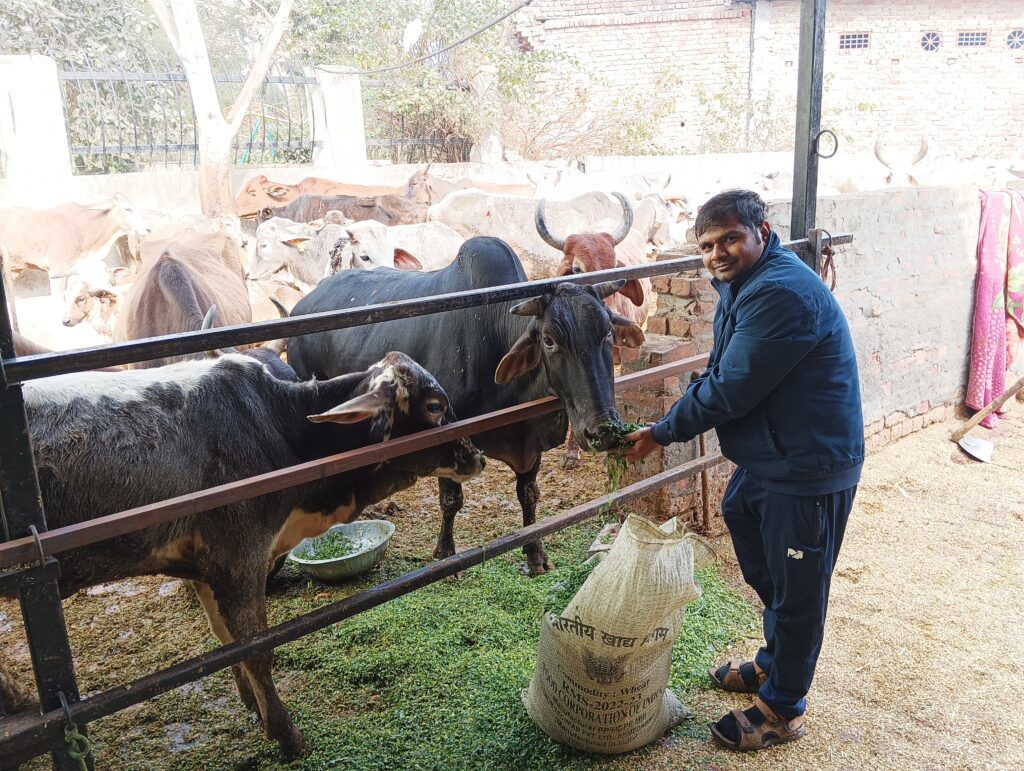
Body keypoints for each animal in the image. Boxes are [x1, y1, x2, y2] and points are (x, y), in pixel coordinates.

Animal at [17, 350, 483, 757]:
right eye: (435, 406)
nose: (476, 455)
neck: (281, 427)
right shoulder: (239, 558)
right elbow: (256, 651)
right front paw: (287, 735)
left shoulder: (205, 568)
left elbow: (226, 640)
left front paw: (253, 707)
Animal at [287, 236, 645, 576]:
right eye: (549, 340)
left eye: (607, 332)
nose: (603, 430)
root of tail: (303, 304)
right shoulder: (446, 440)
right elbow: (450, 501)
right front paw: (446, 558)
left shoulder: (533, 443)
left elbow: (529, 494)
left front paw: (535, 554)